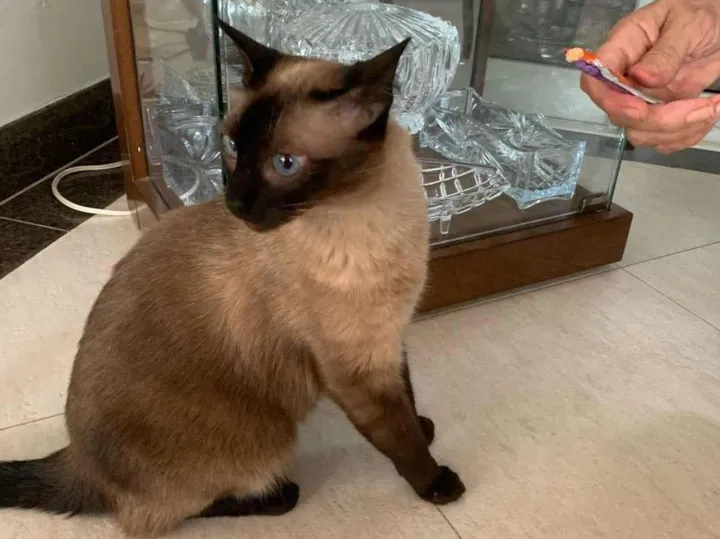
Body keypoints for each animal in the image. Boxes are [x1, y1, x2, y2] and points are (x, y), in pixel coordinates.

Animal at [0, 19, 465, 537]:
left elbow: (407, 397)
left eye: (284, 164)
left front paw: (424, 426)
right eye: (233, 147)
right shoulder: (355, 370)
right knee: (155, 516)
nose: (235, 203)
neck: (368, 215)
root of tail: (76, 459)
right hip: (265, 439)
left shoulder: (389, 339)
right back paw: (279, 495)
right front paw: (437, 483)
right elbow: (397, 438)